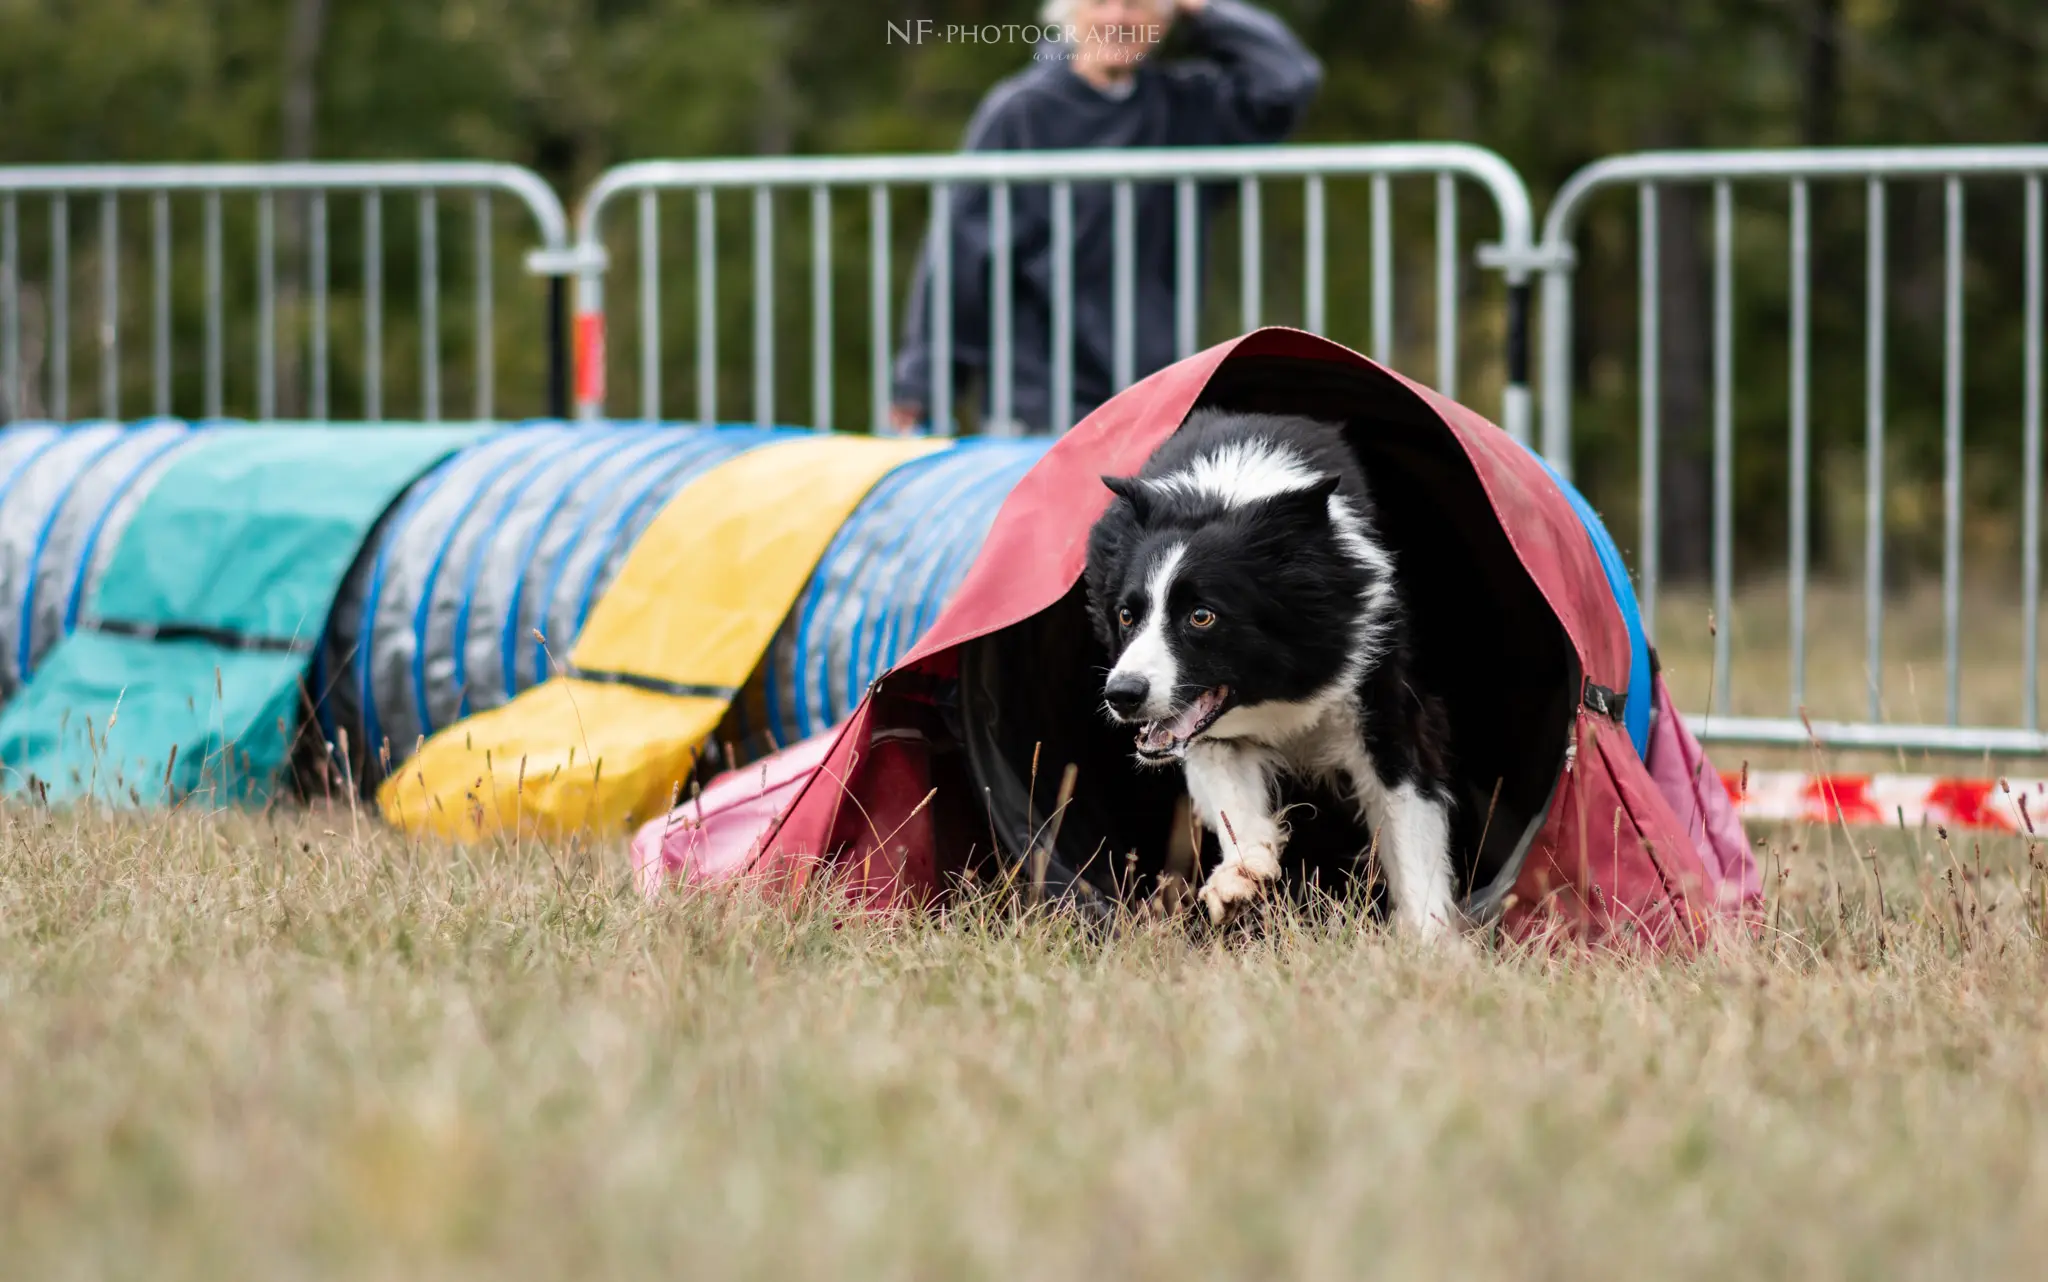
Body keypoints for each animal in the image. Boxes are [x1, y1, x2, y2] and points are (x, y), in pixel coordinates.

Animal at [1081, 409, 1466, 937]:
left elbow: (1409, 823)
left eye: (1201, 616)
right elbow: (1228, 789)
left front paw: (1430, 943)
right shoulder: (1206, 726)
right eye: (1126, 614)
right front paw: (1240, 879)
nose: (1121, 694)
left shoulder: (1381, 686)